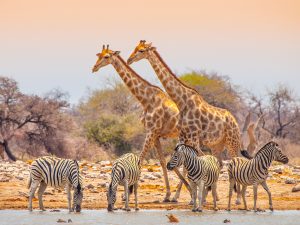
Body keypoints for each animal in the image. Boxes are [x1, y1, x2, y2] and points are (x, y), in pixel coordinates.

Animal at [91, 44, 191, 201]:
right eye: (98, 55)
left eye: (106, 56)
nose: (94, 67)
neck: (146, 100)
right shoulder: (155, 135)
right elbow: (162, 162)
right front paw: (166, 195)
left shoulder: (151, 132)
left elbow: (141, 159)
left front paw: (127, 193)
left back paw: (180, 195)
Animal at [126, 40, 251, 202]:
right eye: (135, 48)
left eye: (141, 50)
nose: (129, 60)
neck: (182, 101)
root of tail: (235, 121)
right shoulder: (186, 137)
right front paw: (195, 196)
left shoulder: (193, 138)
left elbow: (197, 163)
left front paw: (196, 196)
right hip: (217, 145)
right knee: (220, 162)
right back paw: (215, 195)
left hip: (232, 142)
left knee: (235, 162)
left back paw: (237, 198)